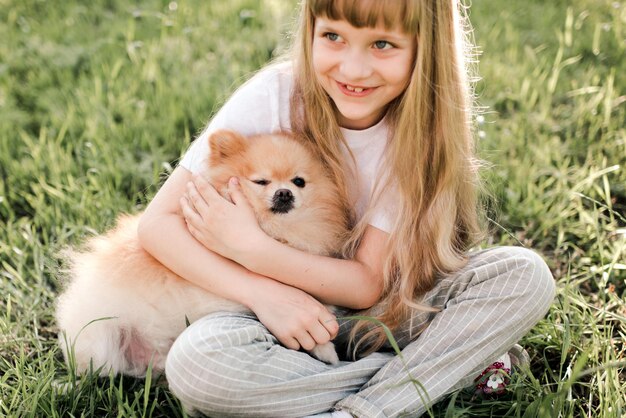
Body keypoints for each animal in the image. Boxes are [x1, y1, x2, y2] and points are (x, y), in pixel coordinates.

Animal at [56, 130, 352, 376]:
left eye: (299, 181)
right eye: (261, 181)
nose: (284, 193)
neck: (274, 231)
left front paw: (326, 350)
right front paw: (325, 348)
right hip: (100, 339)